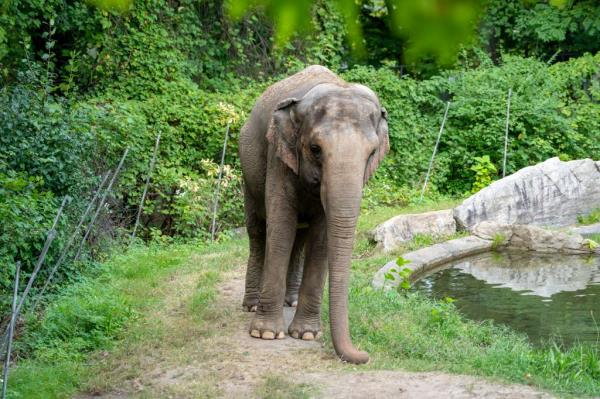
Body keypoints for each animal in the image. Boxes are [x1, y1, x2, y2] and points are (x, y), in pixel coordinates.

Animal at [239, 64, 390, 364]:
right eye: (315, 149)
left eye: (372, 153)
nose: (364, 355)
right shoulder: (278, 155)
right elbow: (281, 227)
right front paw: (266, 334)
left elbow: (321, 238)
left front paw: (307, 334)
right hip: (247, 174)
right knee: (258, 232)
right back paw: (250, 305)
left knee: (300, 237)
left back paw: (291, 300)